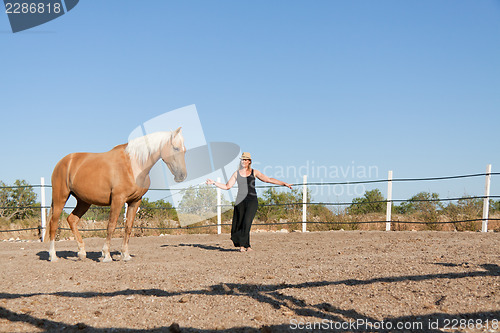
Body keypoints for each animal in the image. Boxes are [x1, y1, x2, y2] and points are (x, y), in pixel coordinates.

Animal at [45, 127, 188, 262]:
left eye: (184, 150)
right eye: (175, 148)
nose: (182, 176)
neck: (134, 165)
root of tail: (63, 162)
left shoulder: (135, 201)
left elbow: (128, 227)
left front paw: (125, 255)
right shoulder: (118, 199)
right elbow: (111, 225)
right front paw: (106, 255)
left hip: (83, 201)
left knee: (72, 220)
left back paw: (81, 253)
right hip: (60, 197)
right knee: (54, 223)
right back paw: (53, 256)